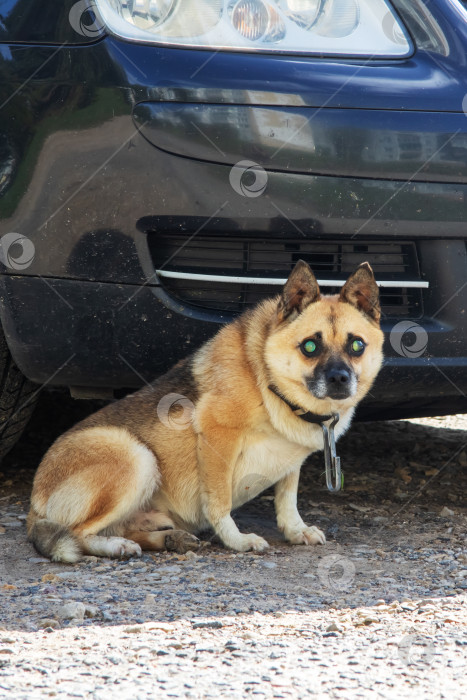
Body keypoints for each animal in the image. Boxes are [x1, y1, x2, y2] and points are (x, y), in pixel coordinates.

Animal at [26, 260, 384, 560]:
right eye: (310, 346)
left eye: (357, 345)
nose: (340, 379)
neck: (268, 381)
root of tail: (34, 506)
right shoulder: (217, 438)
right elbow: (220, 502)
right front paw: (237, 540)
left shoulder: (291, 460)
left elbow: (287, 498)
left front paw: (296, 530)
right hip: (137, 457)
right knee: (75, 533)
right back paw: (116, 546)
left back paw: (170, 539)